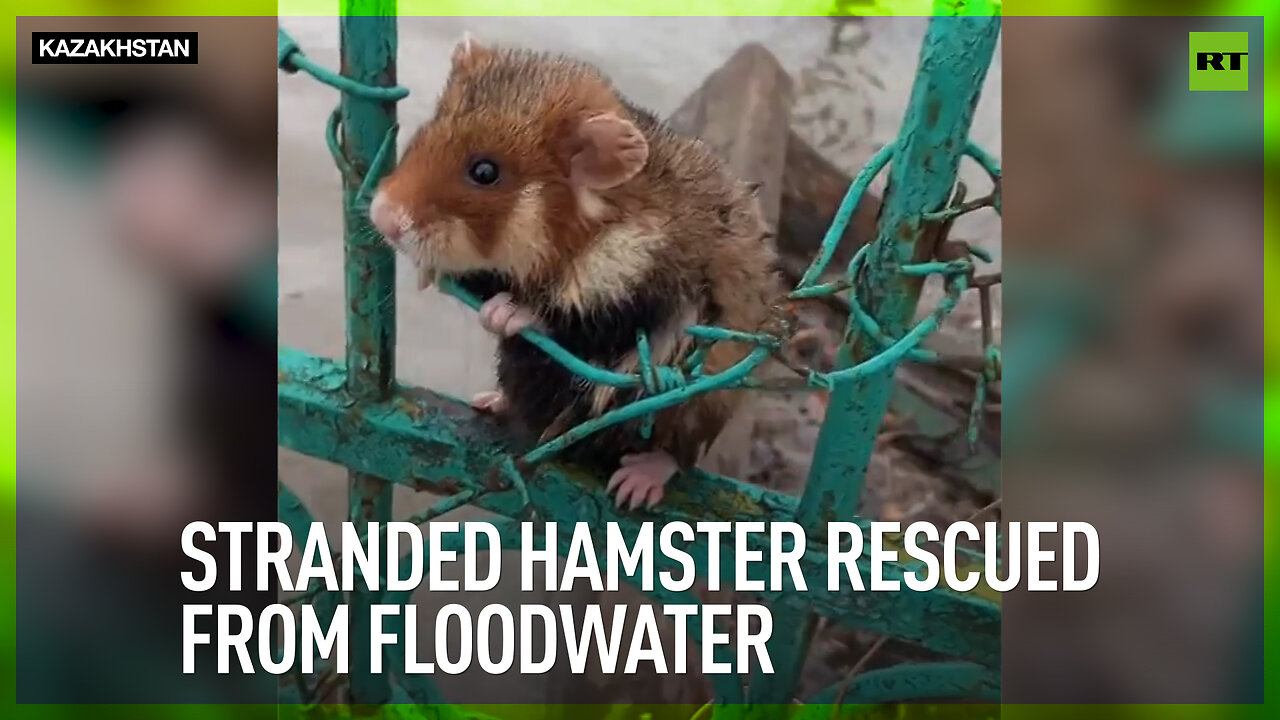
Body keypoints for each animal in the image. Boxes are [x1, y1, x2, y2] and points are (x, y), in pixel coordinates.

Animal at [371, 36, 778, 507]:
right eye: (427, 129)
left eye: (485, 172)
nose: (381, 218)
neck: (595, 226)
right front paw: (429, 274)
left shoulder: (648, 295)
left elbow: (577, 322)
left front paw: (504, 314)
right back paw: (490, 401)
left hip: (700, 406)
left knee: (678, 453)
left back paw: (635, 485)